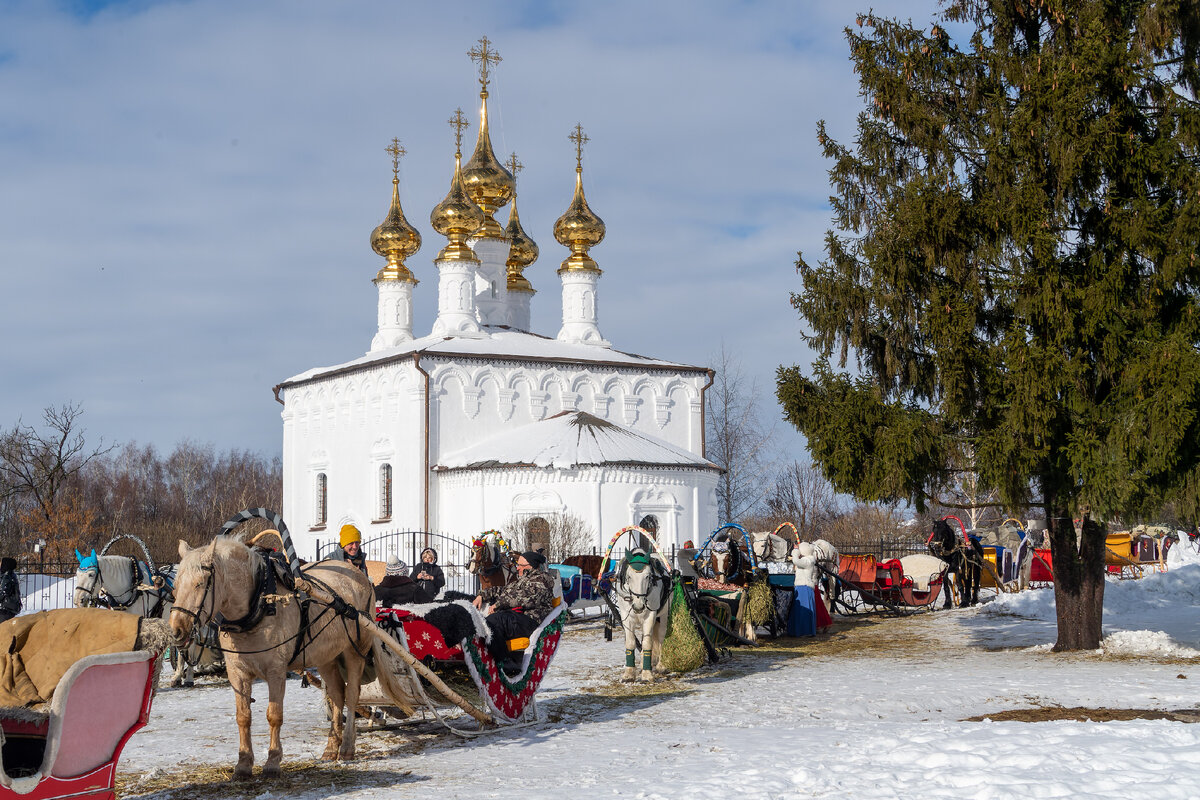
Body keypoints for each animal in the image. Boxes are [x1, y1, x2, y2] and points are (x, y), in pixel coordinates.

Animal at [169, 534, 374, 777]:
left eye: (200, 584)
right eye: (175, 587)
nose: (176, 630)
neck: (260, 602)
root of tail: (360, 577)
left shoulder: (276, 671)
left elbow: (274, 715)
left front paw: (273, 761)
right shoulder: (237, 672)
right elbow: (243, 716)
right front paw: (243, 764)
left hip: (355, 650)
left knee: (351, 696)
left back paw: (347, 746)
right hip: (326, 657)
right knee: (336, 695)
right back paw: (331, 748)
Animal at [614, 551, 672, 681]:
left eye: (647, 576)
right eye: (629, 577)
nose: (638, 606)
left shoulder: (650, 616)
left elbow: (647, 643)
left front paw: (647, 674)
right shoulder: (626, 617)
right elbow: (630, 642)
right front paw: (629, 673)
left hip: (664, 615)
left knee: (661, 636)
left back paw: (661, 666)